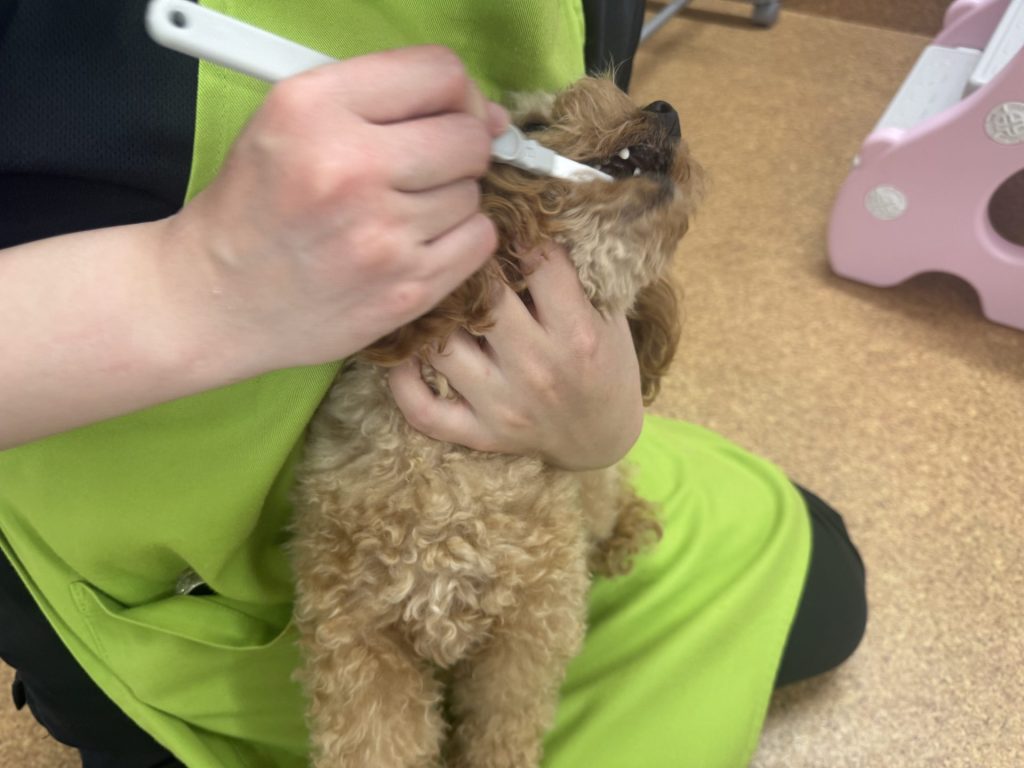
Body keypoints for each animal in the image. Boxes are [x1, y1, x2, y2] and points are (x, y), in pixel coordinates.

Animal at [290, 76, 703, 768]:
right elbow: (376, 738)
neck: (455, 480)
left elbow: (504, 727)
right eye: (533, 127)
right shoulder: (356, 636)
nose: (664, 108)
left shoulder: (529, 631)